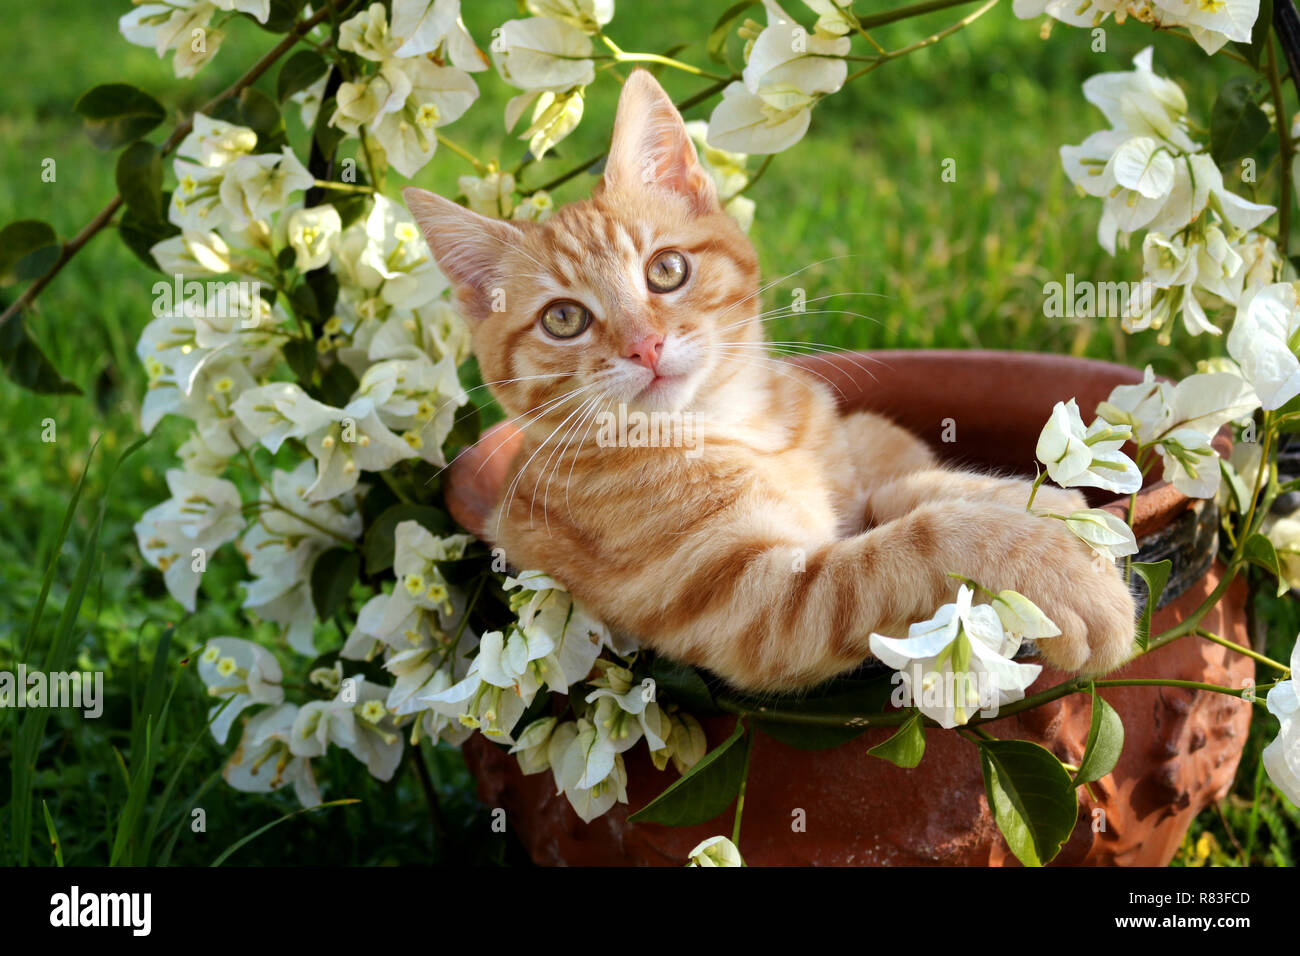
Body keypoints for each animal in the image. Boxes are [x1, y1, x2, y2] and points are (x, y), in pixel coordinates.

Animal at [405, 70, 1138, 691]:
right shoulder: (761, 601)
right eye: (564, 319)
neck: (737, 423)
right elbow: (922, 540)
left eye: (665, 270)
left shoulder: (852, 498)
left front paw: (1052, 511)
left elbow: (919, 491)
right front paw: (1057, 569)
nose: (645, 345)